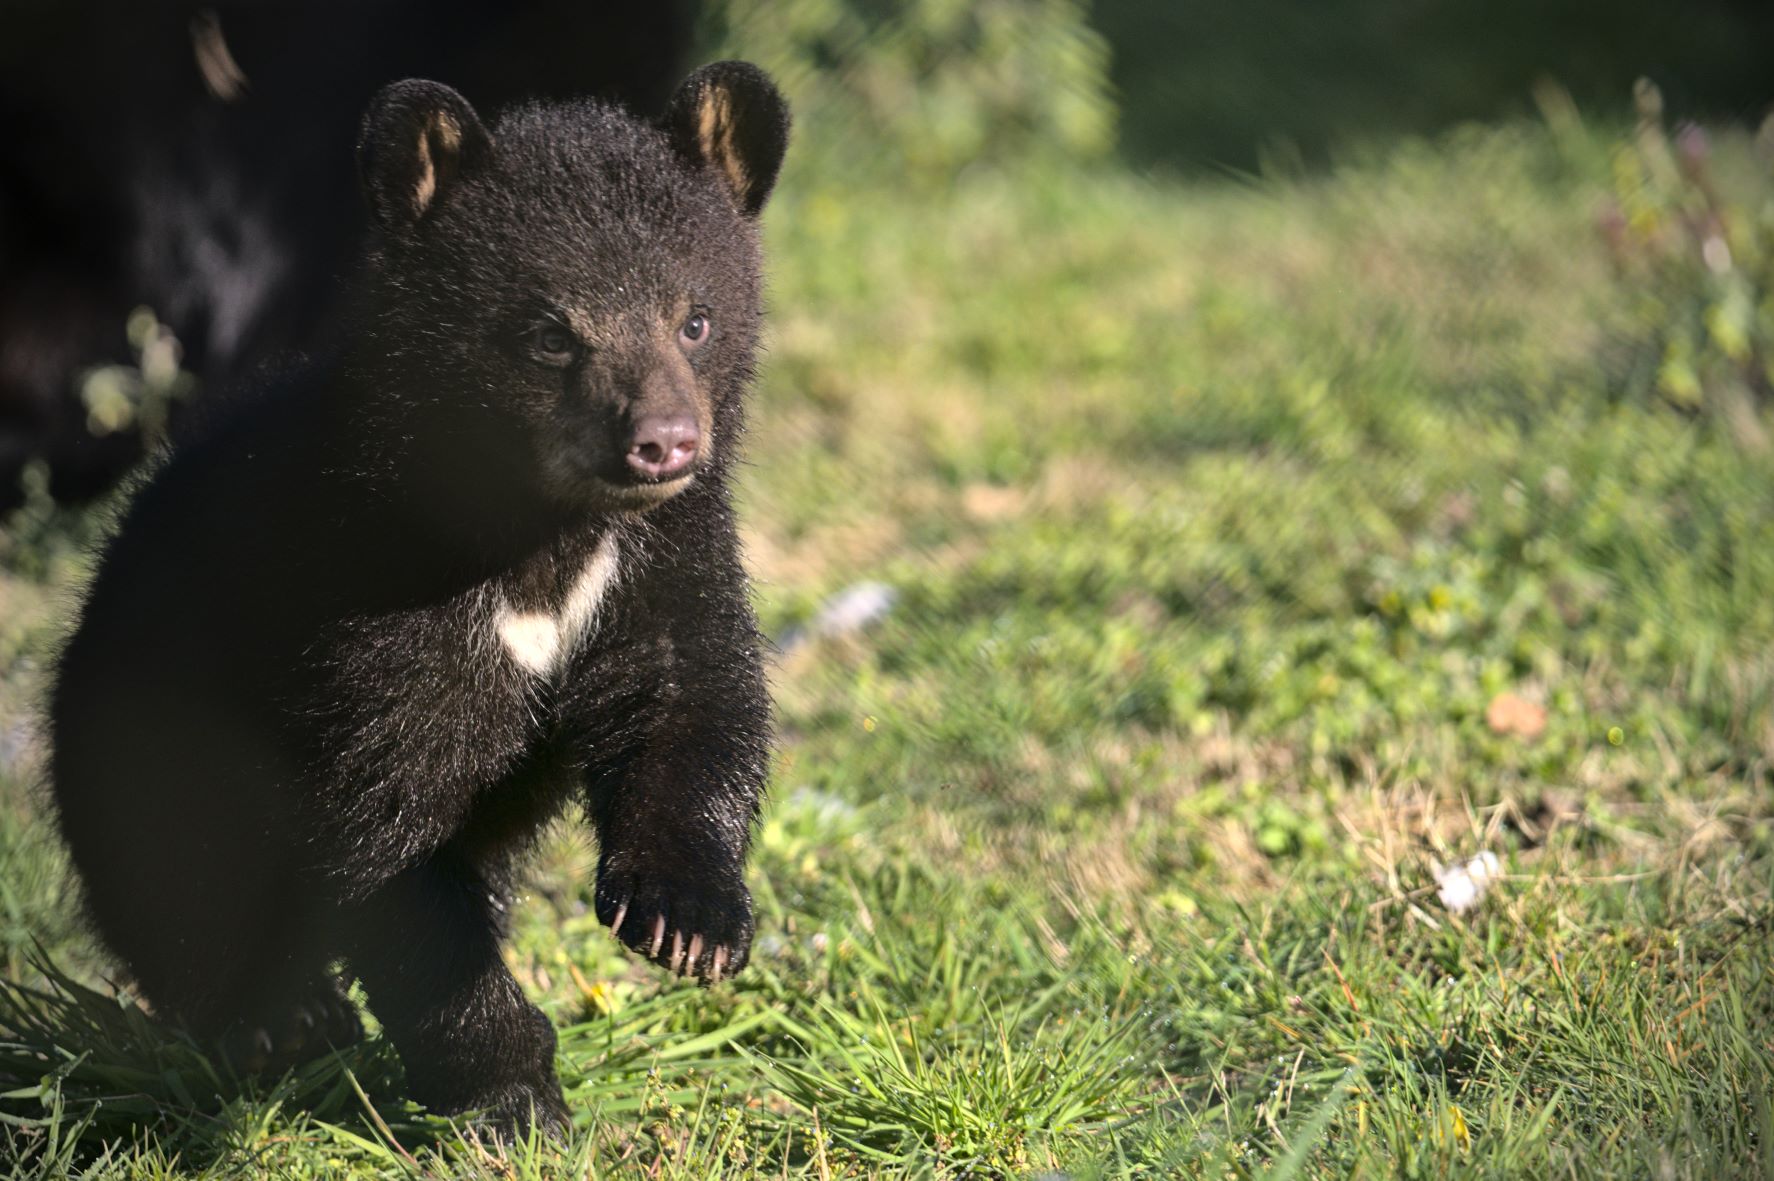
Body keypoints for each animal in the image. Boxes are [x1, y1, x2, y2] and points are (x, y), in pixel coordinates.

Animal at [50, 59, 784, 1127]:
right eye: (549, 334)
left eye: (696, 319)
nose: (664, 442)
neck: (542, 538)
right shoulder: (367, 611)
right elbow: (385, 835)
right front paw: (512, 1094)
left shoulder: (662, 557)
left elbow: (692, 704)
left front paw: (687, 921)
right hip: (147, 729)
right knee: (180, 881)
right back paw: (278, 1019)